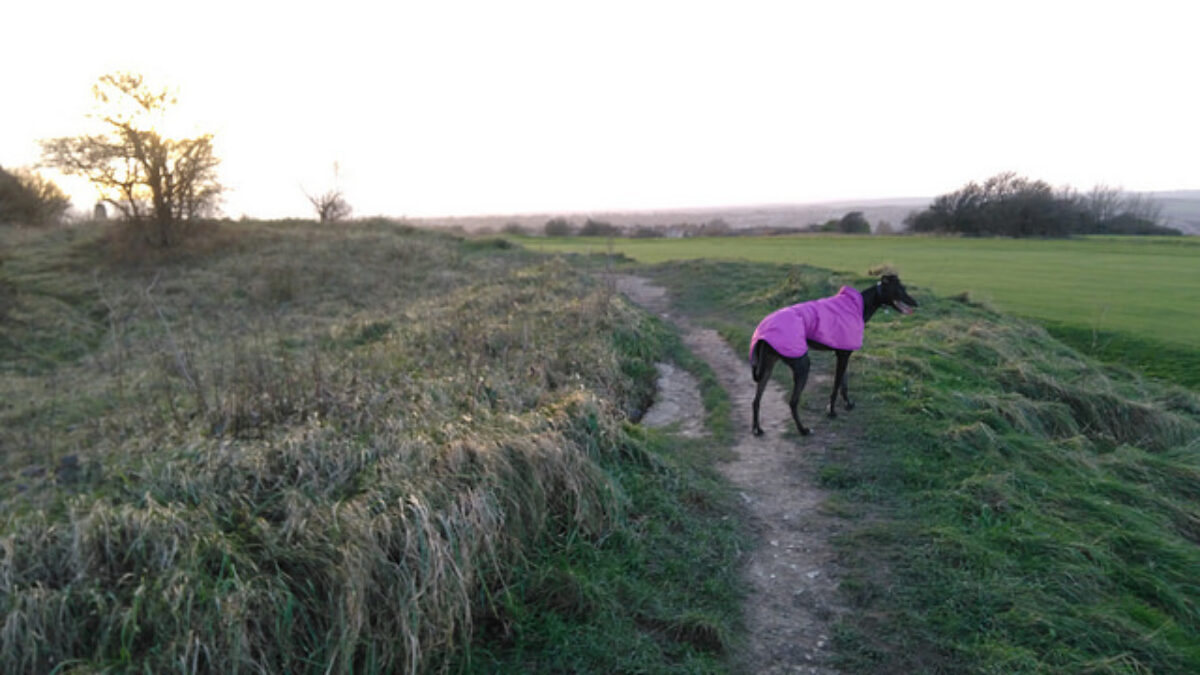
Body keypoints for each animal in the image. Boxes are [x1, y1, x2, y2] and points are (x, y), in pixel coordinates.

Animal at [748, 273, 916, 437]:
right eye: (900, 289)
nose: (916, 303)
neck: (860, 305)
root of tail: (763, 333)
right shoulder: (842, 356)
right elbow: (836, 386)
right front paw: (831, 411)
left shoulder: (845, 353)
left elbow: (844, 384)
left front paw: (848, 404)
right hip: (802, 365)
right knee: (792, 402)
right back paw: (802, 430)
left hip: (768, 366)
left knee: (756, 400)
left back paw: (757, 429)